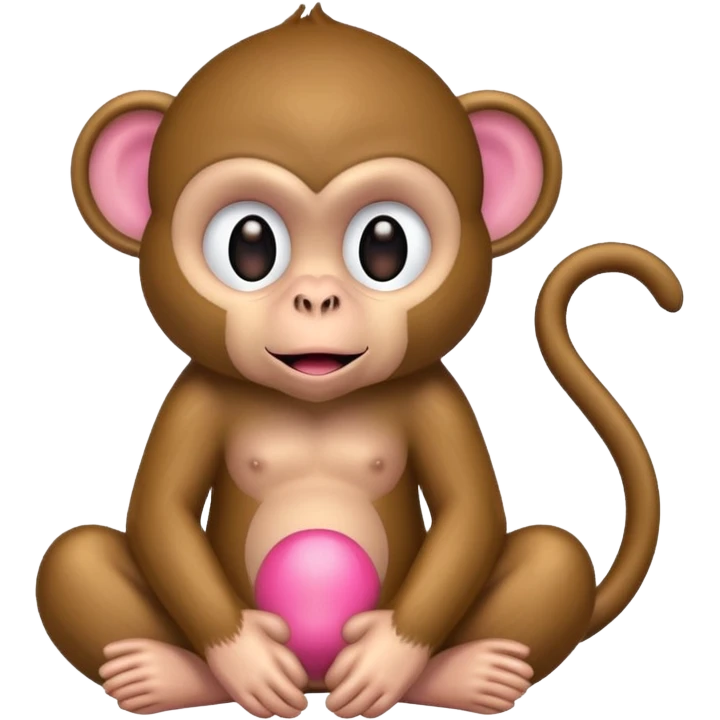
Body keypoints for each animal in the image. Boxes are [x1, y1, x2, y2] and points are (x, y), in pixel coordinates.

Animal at [35, 3, 684, 718]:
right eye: (249, 245)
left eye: (384, 245)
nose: (318, 297)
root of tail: (316, 683)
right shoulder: (195, 397)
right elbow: (161, 513)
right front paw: (246, 659)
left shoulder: (436, 397)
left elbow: (469, 512)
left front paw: (386, 658)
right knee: (73, 556)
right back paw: (158, 671)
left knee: (554, 553)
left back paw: (473, 671)